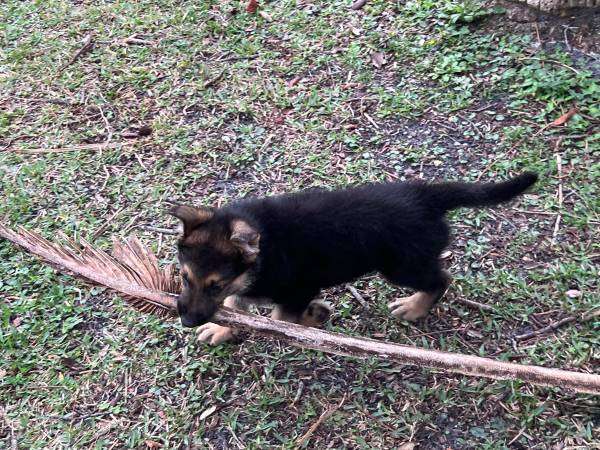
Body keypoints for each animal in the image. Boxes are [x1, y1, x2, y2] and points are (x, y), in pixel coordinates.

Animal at [170, 172, 540, 344]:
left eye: (215, 285)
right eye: (185, 278)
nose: (186, 321)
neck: (264, 253)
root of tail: (425, 195)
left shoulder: (298, 290)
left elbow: (282, 318)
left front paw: (314, 316)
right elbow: (238, 306)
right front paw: (222, 329)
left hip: (400, 266)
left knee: (441, 279)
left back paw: (415, 307)